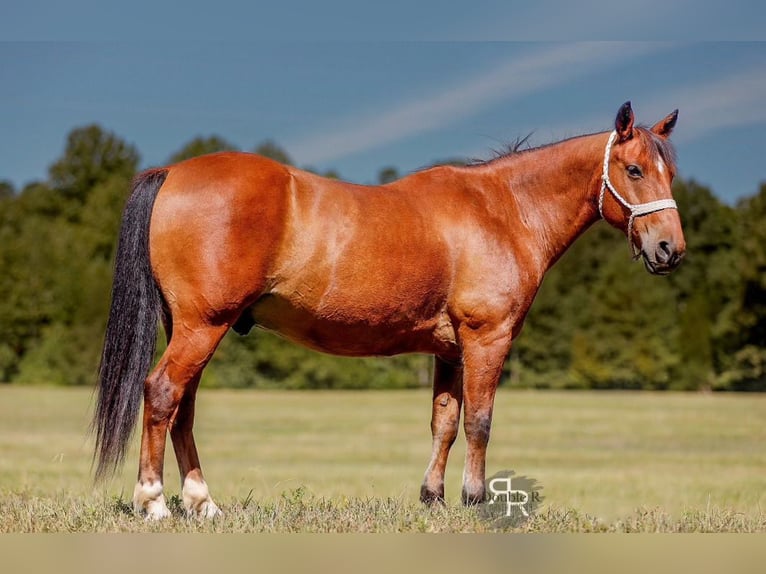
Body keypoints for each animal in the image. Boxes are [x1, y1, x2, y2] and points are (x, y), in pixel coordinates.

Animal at [93, 101, 685, 519]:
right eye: (634, 170)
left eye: (671, 173)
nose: (670, 250)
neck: (503, 210)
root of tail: (172, 171)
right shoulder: (486, 338)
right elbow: (480, 421)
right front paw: (474, 499)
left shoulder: (449, 350)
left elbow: (444, 422)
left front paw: (433, 498)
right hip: (202, 326)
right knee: (162, 393)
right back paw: (154, 502)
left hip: (191, 328)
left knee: (183, 407)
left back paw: (203, 502)